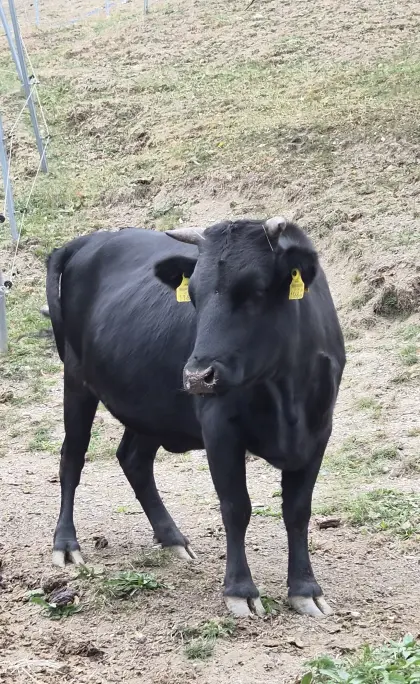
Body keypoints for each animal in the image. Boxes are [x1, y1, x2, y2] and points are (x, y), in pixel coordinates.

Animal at [46, 217, 345, 618]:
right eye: (195, 296)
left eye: (256, 291)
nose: (196, 377)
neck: (286, 391)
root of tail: (89, 240)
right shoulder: (219, 429)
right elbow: (236, 506)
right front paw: (240, 589)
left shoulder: (319, 430)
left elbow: (297, 510)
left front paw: (305, 589)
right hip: (76, 380)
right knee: (72, 458)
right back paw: (66, 544)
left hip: (150, 404)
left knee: (133, 460)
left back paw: (172, 537)